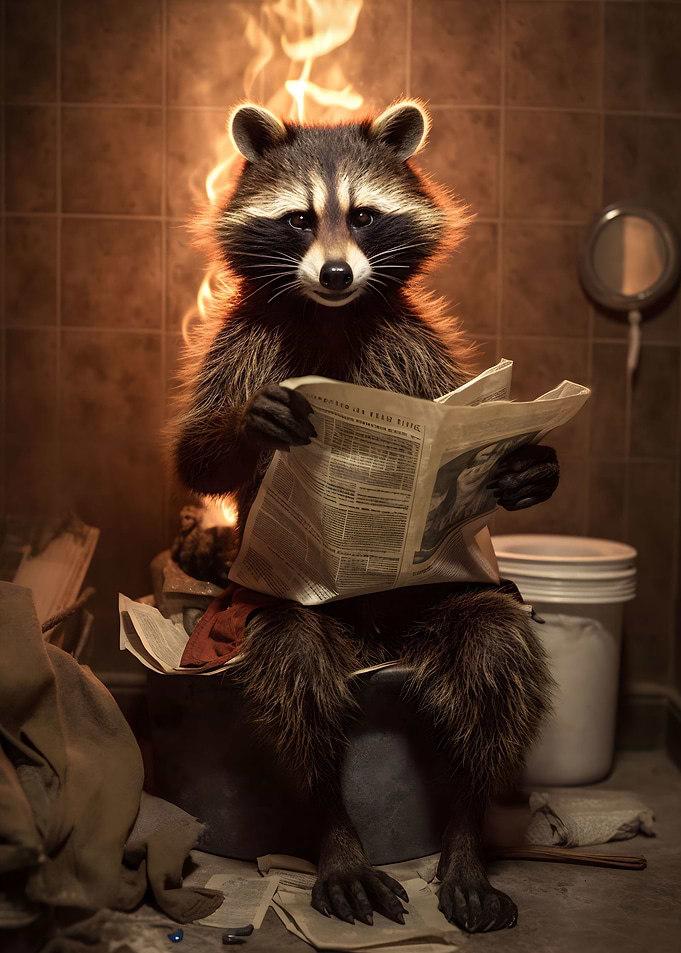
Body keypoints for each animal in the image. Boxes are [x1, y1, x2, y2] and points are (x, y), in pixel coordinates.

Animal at [170, 102, 559, 933]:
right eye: (297, 220)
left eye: (363, 216)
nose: (337, 274)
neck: (327, 312)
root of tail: (376, 642)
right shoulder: (239, 337)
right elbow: (195, 458)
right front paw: (251, 422)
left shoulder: (410, 341)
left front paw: (524, 466)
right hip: (270, 612)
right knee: (295, 667)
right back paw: (334, 830)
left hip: (431, 602)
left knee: (494, 648)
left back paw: (465, 829)